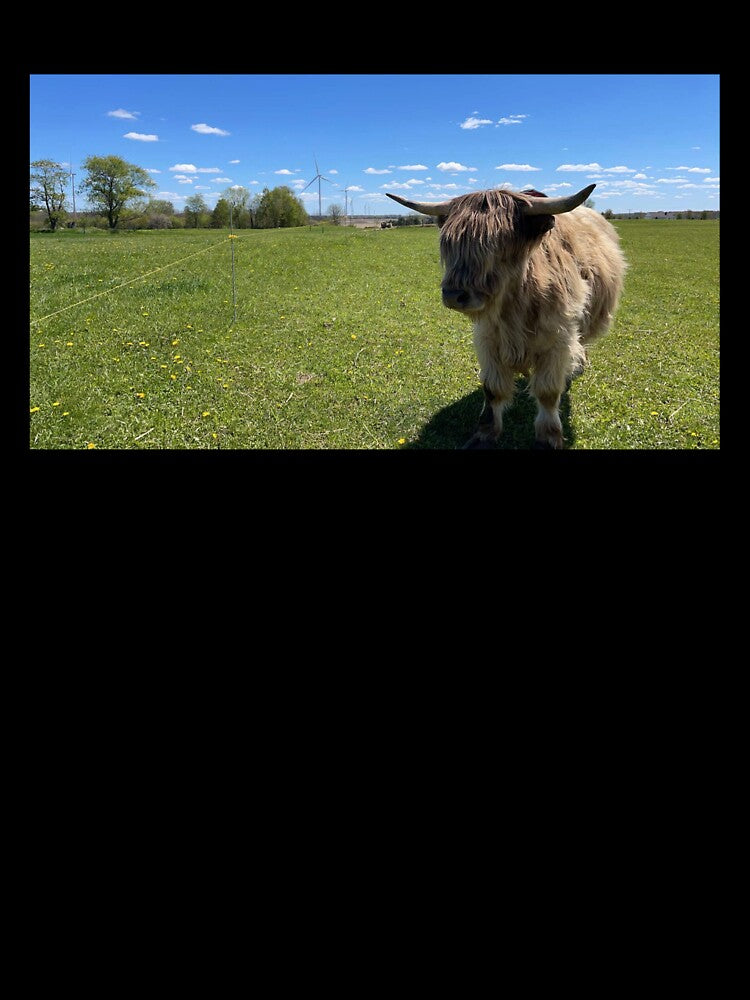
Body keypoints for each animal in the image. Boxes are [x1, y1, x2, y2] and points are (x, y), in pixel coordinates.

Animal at [386, 184, 626, 449]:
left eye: (496, 243)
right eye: (449, 243)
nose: (453, 295)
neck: (515, 306)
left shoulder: (558, 340)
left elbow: (548, 392)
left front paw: (549, 436)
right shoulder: (487, 339)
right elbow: (493, 389)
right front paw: (485, 433)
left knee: (582, 343)